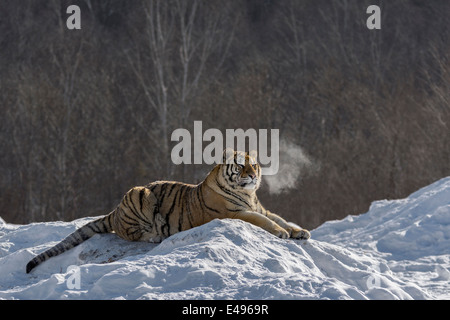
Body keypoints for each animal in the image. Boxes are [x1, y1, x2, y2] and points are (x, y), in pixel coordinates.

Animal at [26, 149, 312, 272]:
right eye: (241, 165)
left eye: (254, 164)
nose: (252, 175)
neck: (248, 194)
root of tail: (114, 210)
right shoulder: (236, 213)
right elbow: (264, 222)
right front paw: (283, 233)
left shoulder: (262, 208)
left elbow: (280, 218)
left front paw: (300, 232)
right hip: (139, 193)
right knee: (129, 232)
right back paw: (154, 235)